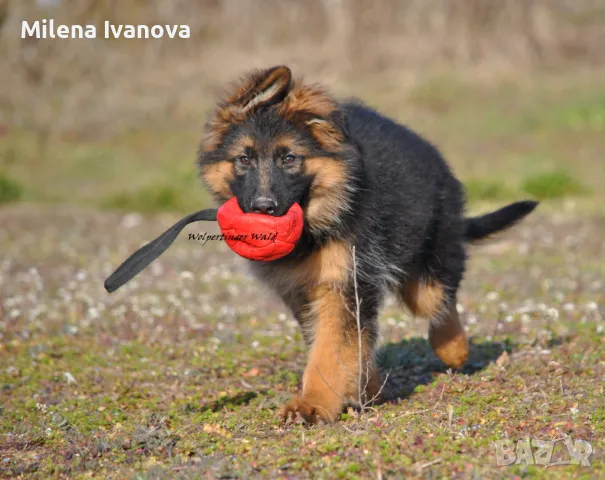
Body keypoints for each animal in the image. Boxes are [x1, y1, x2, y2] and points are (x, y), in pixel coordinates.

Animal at [196, 65, 536, 422]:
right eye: (244, 159)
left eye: (289, 158)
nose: (263, 208)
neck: (321, 217)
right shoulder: (301, 291)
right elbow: (342, 344)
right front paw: (362, 389)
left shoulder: (345, 284)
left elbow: (330, 348)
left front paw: (312, 403)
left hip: (429, 263)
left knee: (441, 297)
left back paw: (454, 348)